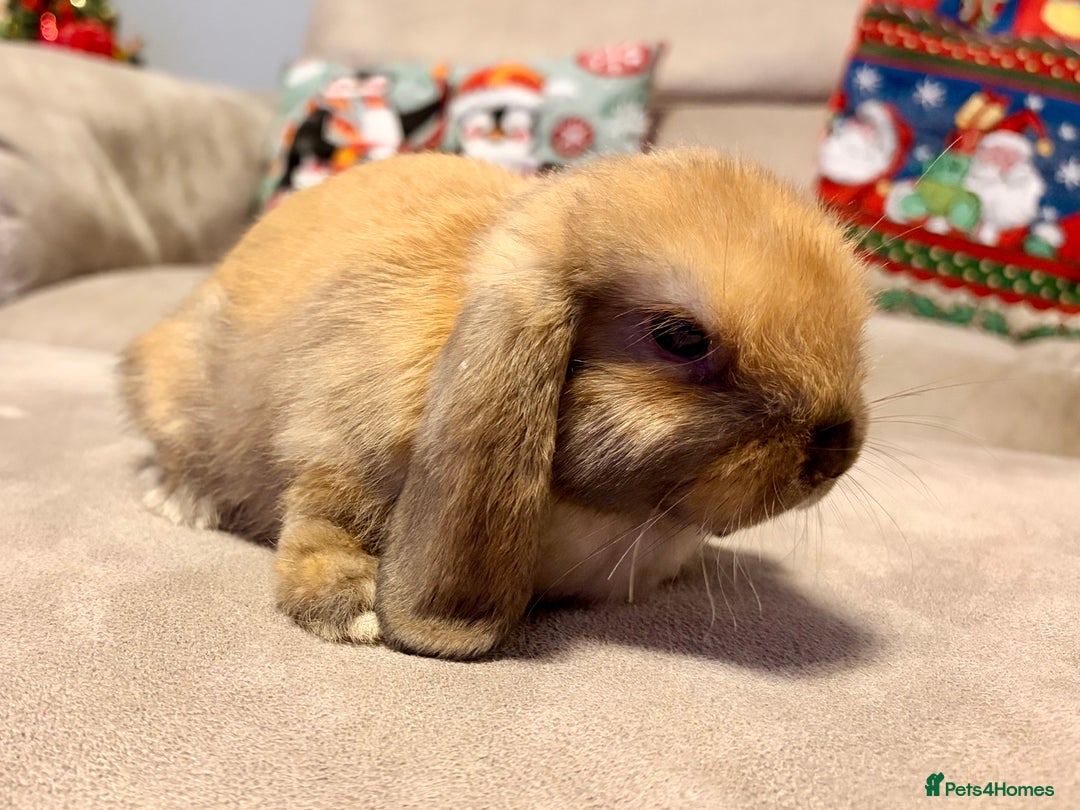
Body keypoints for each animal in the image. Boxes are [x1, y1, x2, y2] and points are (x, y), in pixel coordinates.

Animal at [120, 149, 871, 660]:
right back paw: (182, 500)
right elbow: (322, 526)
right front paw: (354, 612)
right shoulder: (332, 451)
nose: (836, 449)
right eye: (679, 337)